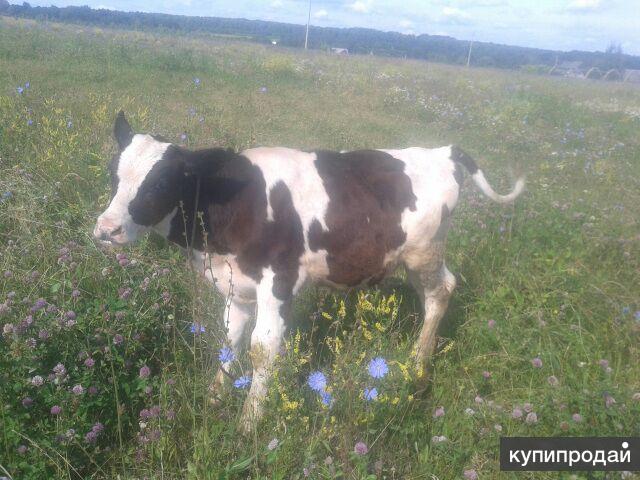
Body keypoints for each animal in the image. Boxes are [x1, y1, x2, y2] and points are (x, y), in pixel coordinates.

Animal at [95, 112, 524, 432]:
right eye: (114, 174)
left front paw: (248, 423)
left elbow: (262, 350)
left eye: (161, 182)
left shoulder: (278, 281)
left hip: (425, 252)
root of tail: (441, 152)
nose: (106, 230)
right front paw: (215, 396)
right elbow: (229, 341)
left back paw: (418, 366)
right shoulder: (236, 286)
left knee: (441, 293)